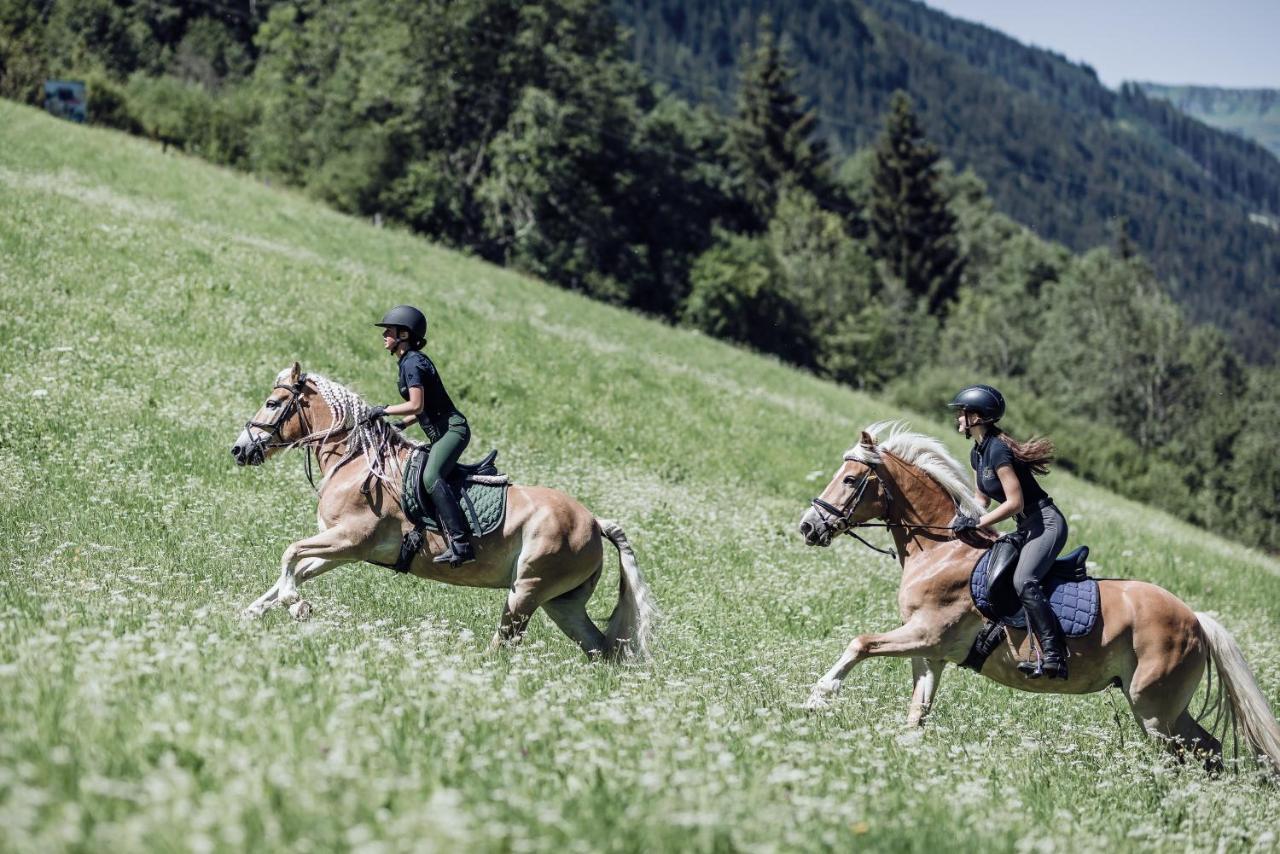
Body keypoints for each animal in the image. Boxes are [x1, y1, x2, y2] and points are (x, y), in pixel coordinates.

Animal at [226, 363, 660, 660]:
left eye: (272, 403)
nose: (239, 449)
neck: (357, 463)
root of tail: (594, 522)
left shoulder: (349, 539)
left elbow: (290, 554)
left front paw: (295, 605)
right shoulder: (346, 550)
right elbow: (297, 568)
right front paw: (253, 612)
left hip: (527, 591)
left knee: (507, 642)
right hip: (561, 604)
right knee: (600, 648)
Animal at [798, 419, 1280, 773]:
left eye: (851, 479)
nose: (808, 527)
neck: (940, 550)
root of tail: (1196, 619)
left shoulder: (926, 634)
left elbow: (860, 643)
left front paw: (818, 696)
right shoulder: (929, 651)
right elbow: (918, 711)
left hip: (1152, 707)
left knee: (1183, 754)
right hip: (1161, 706)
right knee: (1208, 747)